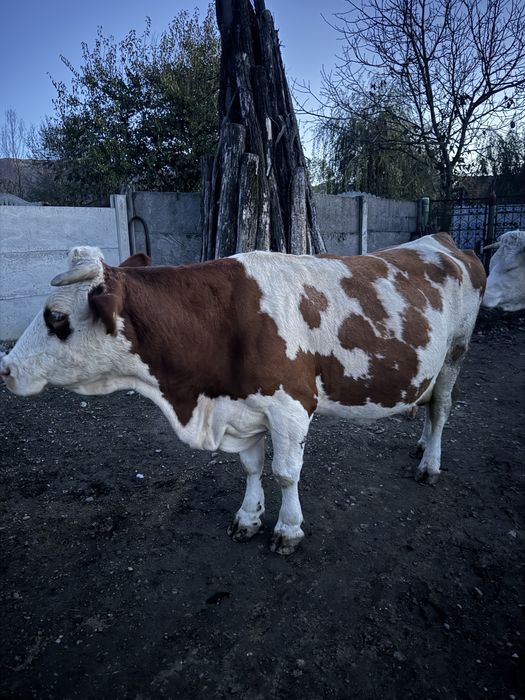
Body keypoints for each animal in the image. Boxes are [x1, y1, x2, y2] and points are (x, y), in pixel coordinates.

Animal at [0, 233, 486, 554]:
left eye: (56, 317)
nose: (6, 367)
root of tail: (446, 241)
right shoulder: (241, 407)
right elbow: (251, 467)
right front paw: (249, 517)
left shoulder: (292, 406)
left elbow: (286, 473)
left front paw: (288, 529)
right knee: (428, 409)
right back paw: (420, 445)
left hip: (455, 353)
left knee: (441, 409)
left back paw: (429, 463)